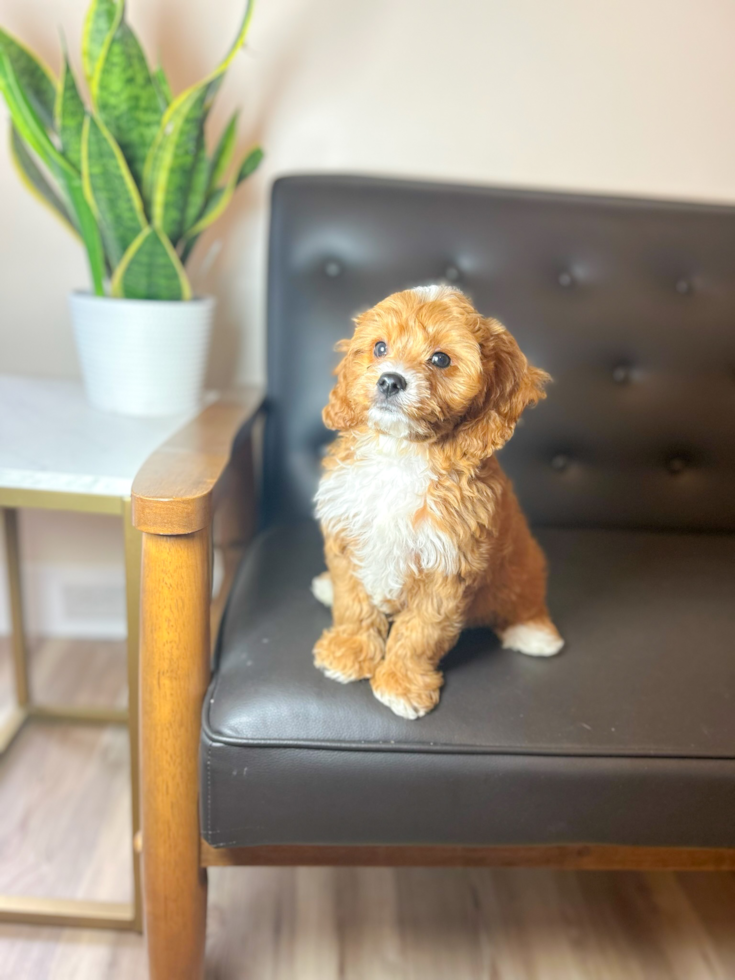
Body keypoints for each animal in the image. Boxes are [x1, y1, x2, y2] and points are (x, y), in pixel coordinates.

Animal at [312, 284, 564, 720]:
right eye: (379, 348)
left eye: (441, 359)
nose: (390, 380)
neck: (401, 452)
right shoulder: (347, 532)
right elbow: (353, 601)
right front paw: (348, 650)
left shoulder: (449, 566)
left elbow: (421, 631)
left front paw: (401, 683)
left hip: (522, 562)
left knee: (525, 592)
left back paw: (534, 633)